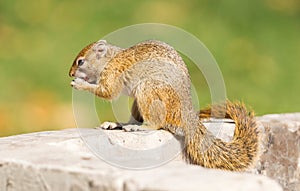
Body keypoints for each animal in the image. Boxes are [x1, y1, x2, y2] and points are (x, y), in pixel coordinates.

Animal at [69, 39, 258, 171]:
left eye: (81, 62)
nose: (70, 73)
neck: (110, 59)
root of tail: (185, 114)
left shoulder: (113, 73)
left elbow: (108, 93)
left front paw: (80, 84)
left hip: (147, 90)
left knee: (157, 123)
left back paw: (141, 127)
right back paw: (119, 124)